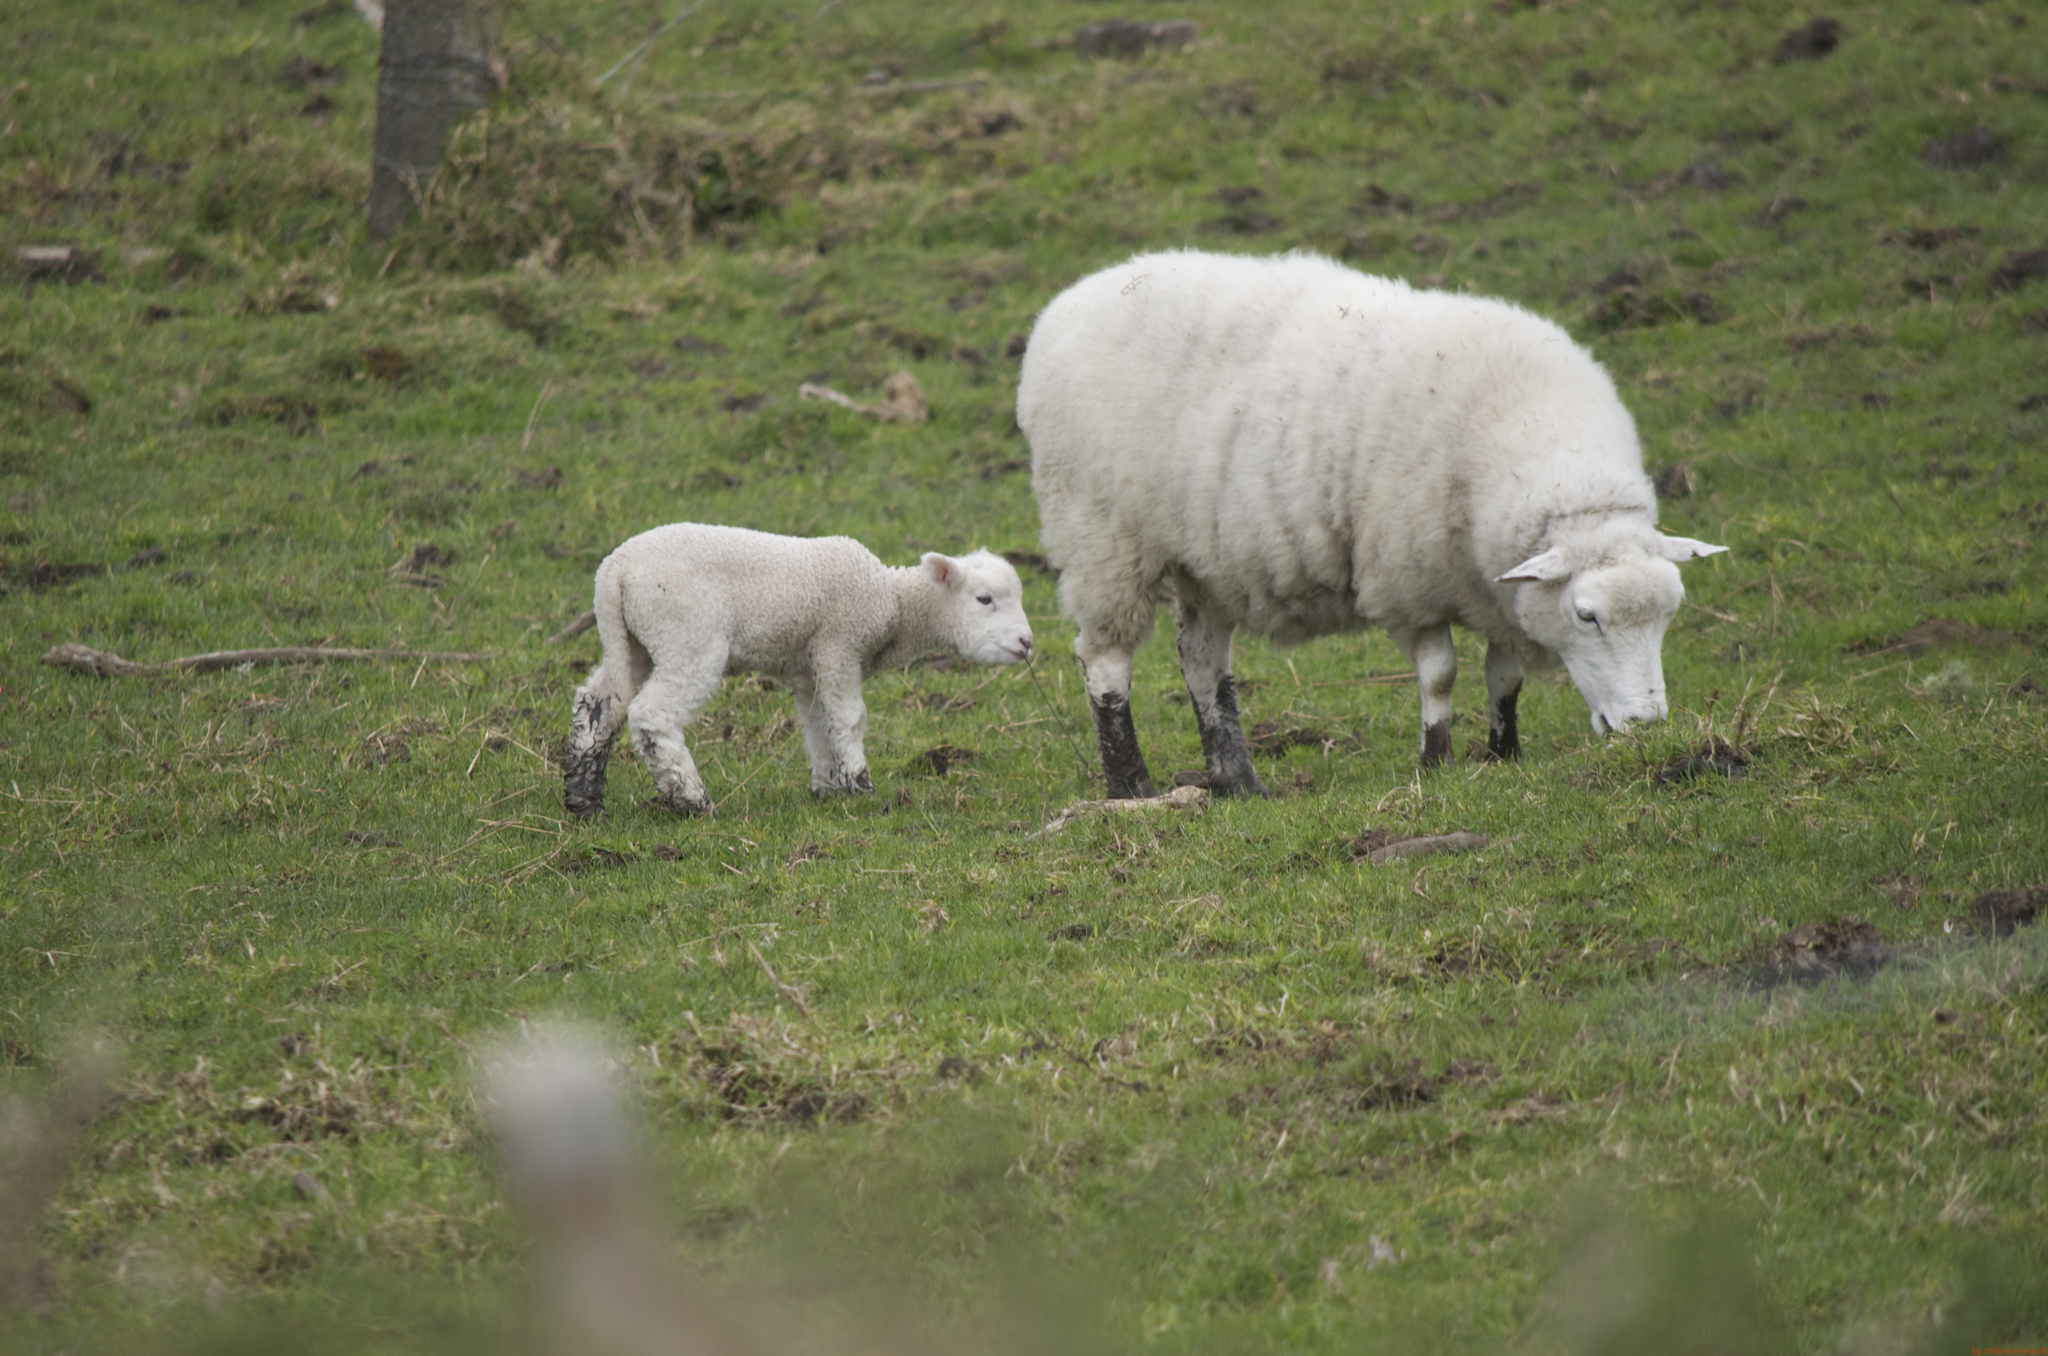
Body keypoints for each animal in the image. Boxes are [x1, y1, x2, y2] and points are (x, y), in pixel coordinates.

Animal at [563, 524, 1033, 817]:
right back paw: (691, 798)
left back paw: (584, 799)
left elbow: (818, 723)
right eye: (984, 599)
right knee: (651, 714)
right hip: (687, 635)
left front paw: (829, 786)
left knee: (598, 704)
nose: (1027, 643)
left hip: (636, 641)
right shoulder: (839, 645)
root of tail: (614, 570)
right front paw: (860, 784)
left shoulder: (810, 669)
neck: (894, 603)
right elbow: (850, 718)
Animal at [1018, 249, 1727, 798]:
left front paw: (1504, 754)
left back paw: (1237, 780)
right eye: (1587, 616)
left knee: (1200, 661)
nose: (1646, 727)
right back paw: (1129, 782)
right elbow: (1440, 673)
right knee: (1106, 662)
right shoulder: (1409, 578)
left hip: (1206, 557)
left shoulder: (1494, 585)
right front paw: (1436, 760)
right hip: (1102, 534)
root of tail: (1071, 302)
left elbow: (1505, 677)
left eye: (1669, 614)